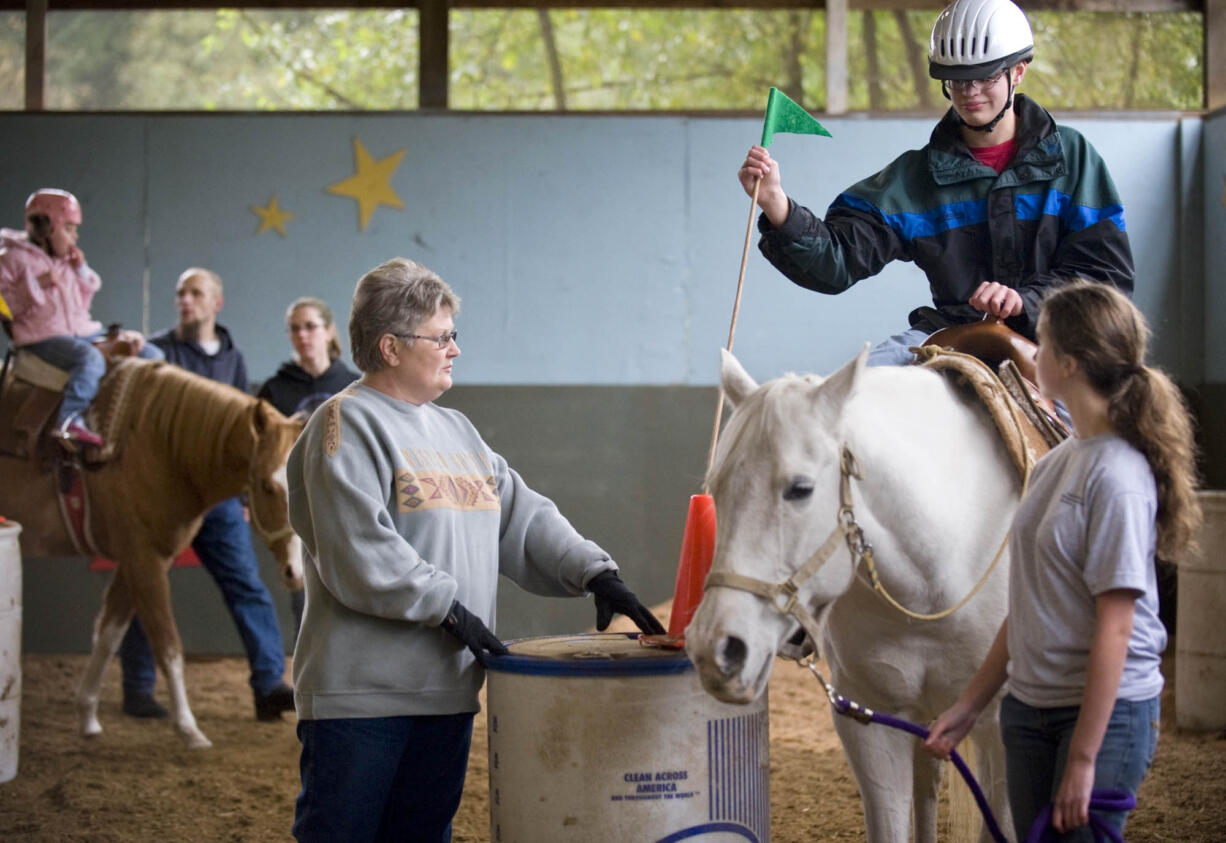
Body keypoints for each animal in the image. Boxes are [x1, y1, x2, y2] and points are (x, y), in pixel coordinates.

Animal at [0, 357, 304, 749]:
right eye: (267, 485)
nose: (296, 570)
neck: (159, 446)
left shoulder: (135, 561)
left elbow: (109, 634)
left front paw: (87, 715)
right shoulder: (144, 559)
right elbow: (168, 645)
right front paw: (189, 729)